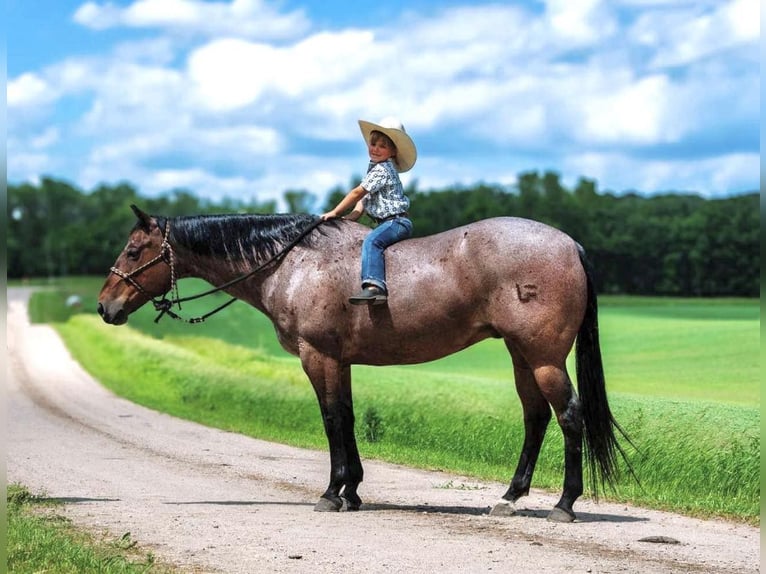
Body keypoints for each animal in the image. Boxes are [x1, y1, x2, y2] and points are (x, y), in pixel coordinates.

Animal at [97, 205, 631, 522]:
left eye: (134, 250)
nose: (105, 307)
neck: (292, 262)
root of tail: (568, 244)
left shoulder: (319, 356)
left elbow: (332, 419)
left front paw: (332, 492)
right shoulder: (342, 361)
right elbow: (349, 418)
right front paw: (352, 490)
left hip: (543, 358)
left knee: (569, 416)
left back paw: (564, 503)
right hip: (522, 356)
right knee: (536, 417)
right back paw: (511, 496)